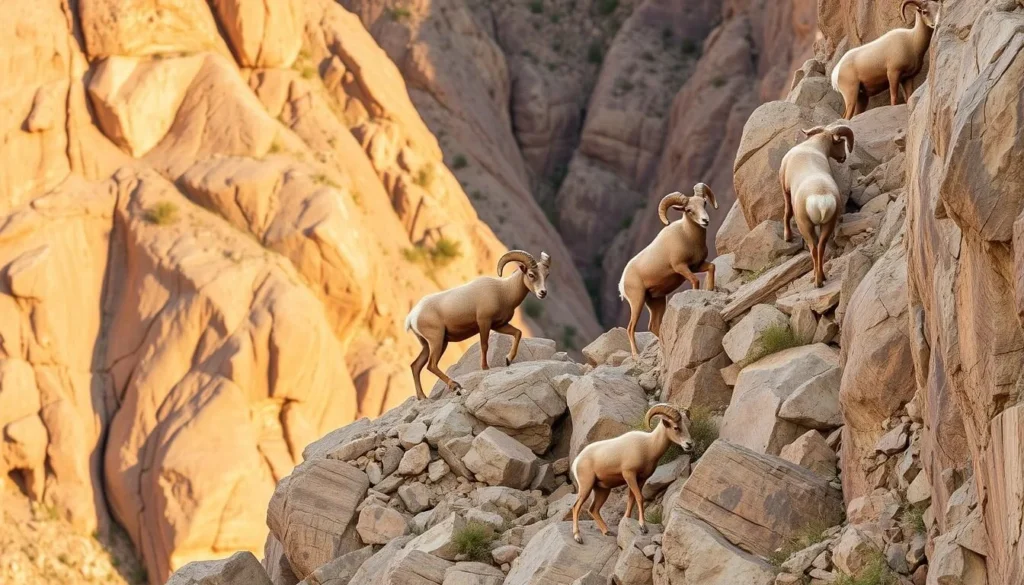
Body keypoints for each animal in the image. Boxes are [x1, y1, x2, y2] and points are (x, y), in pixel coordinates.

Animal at [405, 250, 551, 400]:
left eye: (546, 275)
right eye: (531, 274)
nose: (542, 293)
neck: (503, 292)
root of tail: (413, 316)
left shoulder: (499, 325)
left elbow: (518, 333)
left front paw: (508, 360)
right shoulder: (484, 322)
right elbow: (484, 345)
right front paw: (485, 367)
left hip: (431, 344)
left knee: (416, 366)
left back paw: (423, 397)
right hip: (437, 341)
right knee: (431, 365)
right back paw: (456, 387)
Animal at [569, 404, 693, 544]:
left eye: (687, 425)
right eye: (676, 427)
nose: (689, 444)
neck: (648, 446)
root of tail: (577, 461)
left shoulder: (640, 480)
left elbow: (631, 500)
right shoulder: (629, 475)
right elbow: (639, 498)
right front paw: (643, 527)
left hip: (602, 490)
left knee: (593, 509)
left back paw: (607, 532)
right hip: (586, 486)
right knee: (576, 507)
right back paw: (578, 537)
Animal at [618, 183, 718, 357]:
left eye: (704, 203)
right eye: (689, 210)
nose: (705, 221)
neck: (687, 235)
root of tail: (622, 282)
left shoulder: (697, 266)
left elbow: (711, 267)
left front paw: (711, 290)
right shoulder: (681, 267)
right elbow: (695, 280)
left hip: (656, 301)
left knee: (654, 326)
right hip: (637, 301)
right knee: (630, 328)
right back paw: (636, 354)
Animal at [779, 124, 855, 288]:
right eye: (840, 142)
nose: (843, 158)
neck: (812, 147)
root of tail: (822, 201)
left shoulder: (785, 189)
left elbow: (787, 212)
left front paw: (787, 237)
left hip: (806, 226)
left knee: (813, 249)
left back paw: (817, 281)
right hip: (828, 224)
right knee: (821, 247)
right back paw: (821, 278)